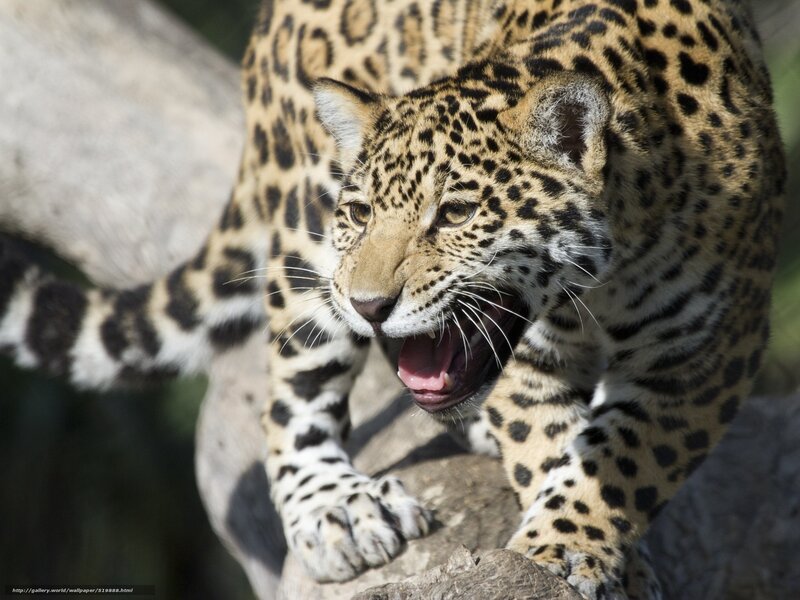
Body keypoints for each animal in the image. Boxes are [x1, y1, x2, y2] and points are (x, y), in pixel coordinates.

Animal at [0, 0, 784, 598]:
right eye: (361, 212)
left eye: (456, 213)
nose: (369, 303)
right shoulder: (534, 361)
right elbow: (552, 446)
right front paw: (562, 551)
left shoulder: (709, 352)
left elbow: (624, 458)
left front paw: (574, 543)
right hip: (304, 240)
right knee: (291, 396)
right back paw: (337, 505)